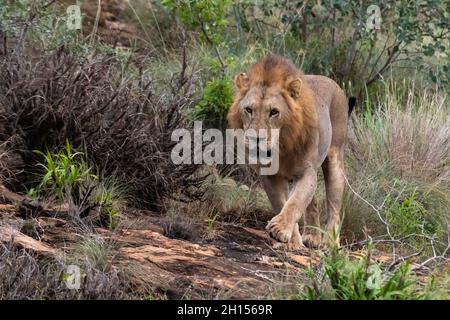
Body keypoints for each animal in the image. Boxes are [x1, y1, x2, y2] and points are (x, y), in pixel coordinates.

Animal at [229, 55, 356, 249]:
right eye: (249, 110)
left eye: (274, 112)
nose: (256, 139)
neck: (281, 147)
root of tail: (334, 84)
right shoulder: (269, 176)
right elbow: (283, 202)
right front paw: (292, 241)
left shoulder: (307, 173)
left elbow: (295, 202)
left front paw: (280, 229)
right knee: (313, 204)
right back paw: (312, 236)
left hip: (334, 157)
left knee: (334, 206)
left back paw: (330, 242)